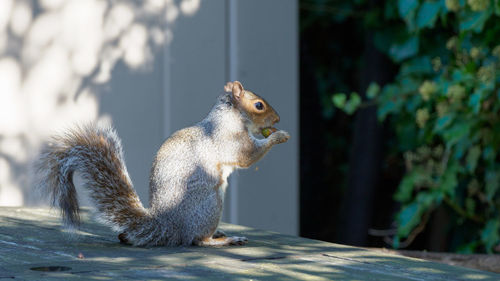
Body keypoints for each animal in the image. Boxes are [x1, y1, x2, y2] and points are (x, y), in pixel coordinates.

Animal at [36, 80, 290, 245]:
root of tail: (168, 225)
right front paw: (279, 136)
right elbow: (248, 155)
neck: (230, 116)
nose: (278, 119)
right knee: (197, 240)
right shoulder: (230, 139)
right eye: (259, 105)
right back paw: (224, 239)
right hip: (210, 202)